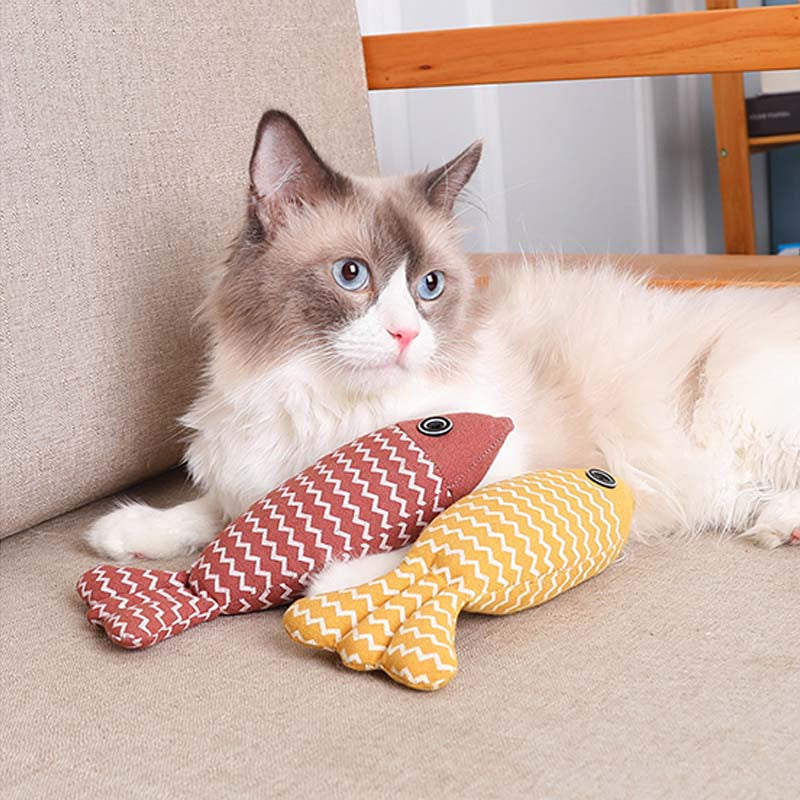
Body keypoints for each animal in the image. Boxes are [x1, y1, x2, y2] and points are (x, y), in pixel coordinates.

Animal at [87, 109, 800, 592]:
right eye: (352, 275)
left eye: (429, 286)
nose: (406, 335)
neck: (323, 402)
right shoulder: (252, 478)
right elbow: (212, 511)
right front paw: (128, 532)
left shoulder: (507, 478)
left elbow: (424, 544)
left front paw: (328, 581)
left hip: (741, 402)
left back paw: (779, 525)